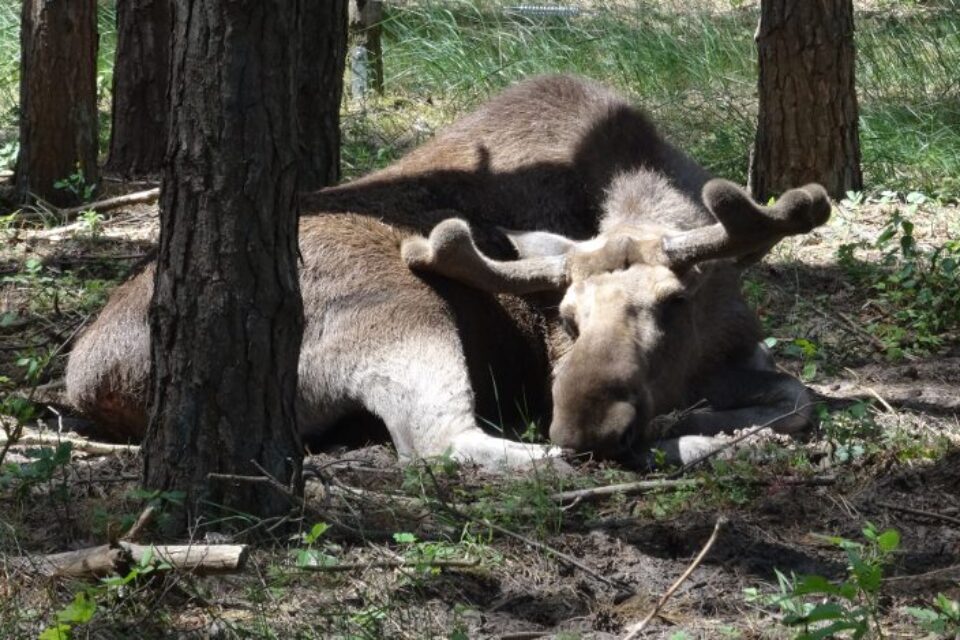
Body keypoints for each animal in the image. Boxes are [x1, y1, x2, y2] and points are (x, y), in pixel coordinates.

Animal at [65, 75, 832, 470]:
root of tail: (91, 380)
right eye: (566, 316)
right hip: (403, 311)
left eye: (672, 304)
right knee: (443, 444)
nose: (586, 425)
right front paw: (697, 424)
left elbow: (798, 395)